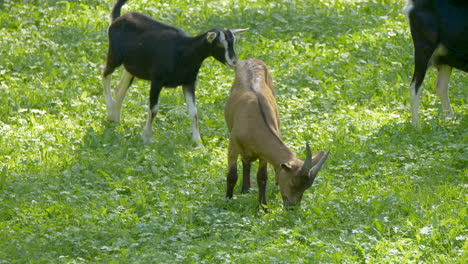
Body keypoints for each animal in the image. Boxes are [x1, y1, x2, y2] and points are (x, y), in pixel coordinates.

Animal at [103, 0, 249, 143]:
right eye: (219, 43)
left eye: (233, 42)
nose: (234, 62)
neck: (183, 51)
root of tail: (118, 18)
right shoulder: (157, 80)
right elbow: (154, 108)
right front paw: (146, 137)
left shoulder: (189, 82)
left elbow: (193, 111)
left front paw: (198, 143)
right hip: (114, 55)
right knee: (105, 74)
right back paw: (110, 112)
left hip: (132, 67)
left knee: (120, 90)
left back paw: (115, 120)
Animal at [224, 58, 330, 209]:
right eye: (293, 182)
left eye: (306, 187)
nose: (292, 207)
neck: (253, 123)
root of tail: (251, 60)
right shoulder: (233, 144)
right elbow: (232, 175)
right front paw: (227, 201)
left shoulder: (263, 152)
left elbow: (262, 177)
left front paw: (263, 206)